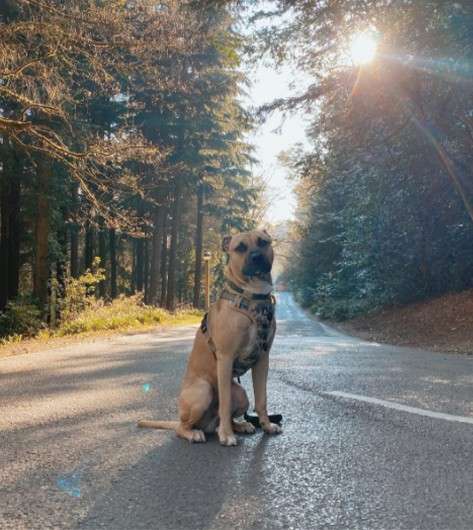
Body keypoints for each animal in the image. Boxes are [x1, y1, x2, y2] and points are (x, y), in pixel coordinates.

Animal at [138, 229, 282, 444]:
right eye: (240, 247)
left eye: (263, 242)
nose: (256, 257)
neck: (252, 299)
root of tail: (206, 424)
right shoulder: (225, 358)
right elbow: (224, 403)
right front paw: (227, 436)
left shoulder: (263, 359)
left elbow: (262, 398)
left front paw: (266, 425)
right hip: (203, 390)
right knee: (183, 427)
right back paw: (196, 433)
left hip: (241, 393)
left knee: (227, 416)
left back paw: (240, 425)